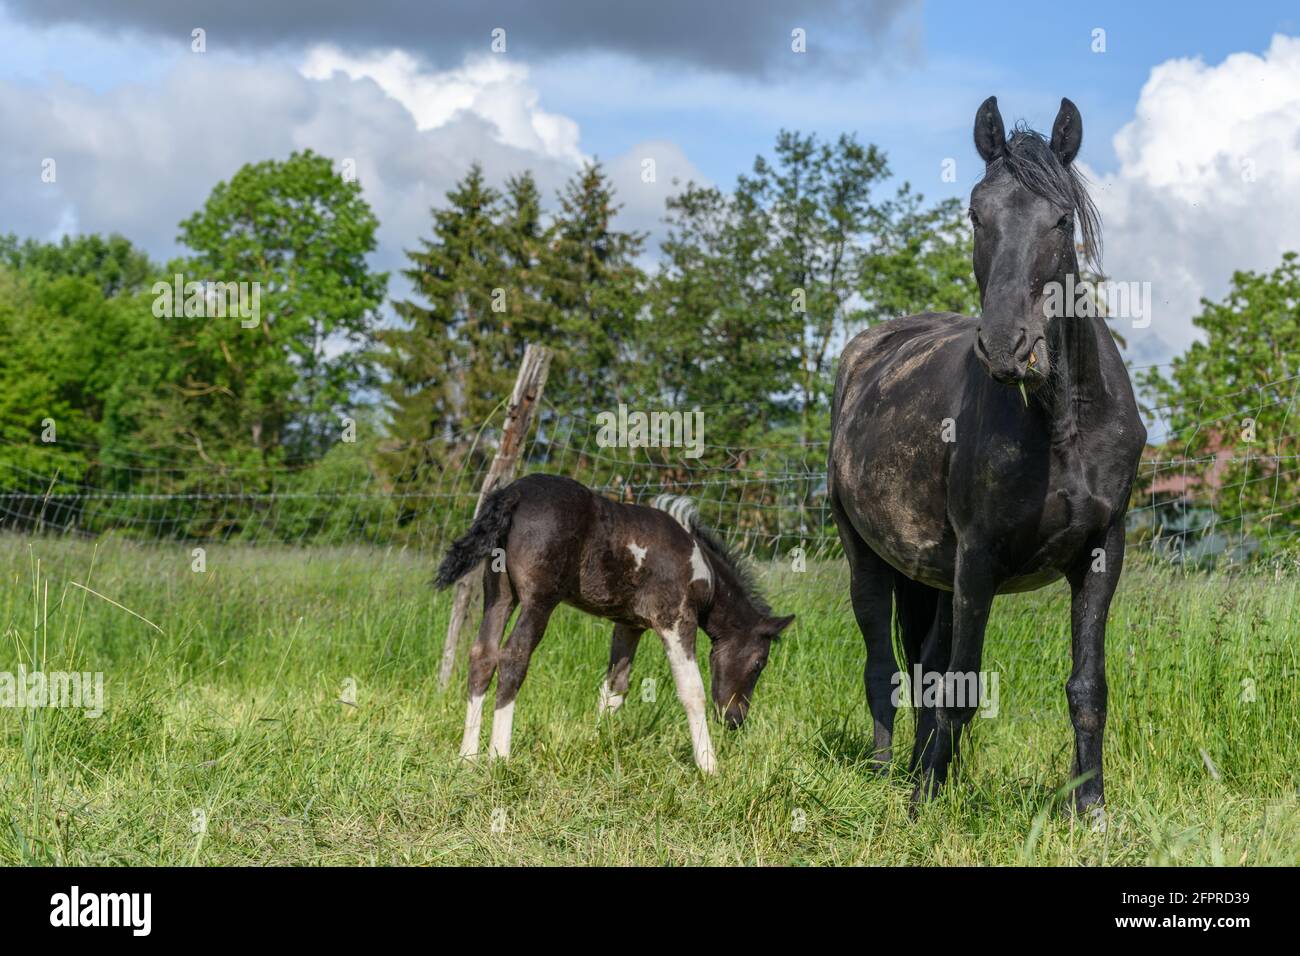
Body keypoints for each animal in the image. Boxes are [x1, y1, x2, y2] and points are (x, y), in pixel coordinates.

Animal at [435, 473, 794, 773]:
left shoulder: (628, 624)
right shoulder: (675, 619)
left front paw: (598, 746)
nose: (735, 719)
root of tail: (514, 492)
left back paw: (467, 756)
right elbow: (692, 691)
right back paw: (499, 756)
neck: (701, 568)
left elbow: (615, 687)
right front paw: (709, 765)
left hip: (498, 594)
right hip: (539, 600)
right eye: (759, 662)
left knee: (482, 655)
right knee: (514, 656)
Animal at [827, 96, 1145, 814]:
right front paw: (924, 806)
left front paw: (1090, 810)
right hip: (869, 559)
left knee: (923, 664)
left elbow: (1087, 687)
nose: (1008, 347)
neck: (1061, 425)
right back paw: (887, 775)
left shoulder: (1101, 552)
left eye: (1061, 218)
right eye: (977, 213)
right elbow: (960, 688)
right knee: (883, 667)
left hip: (933, 578)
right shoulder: (978, 560)